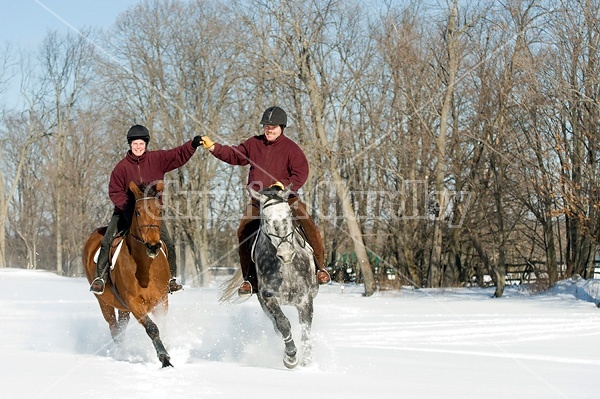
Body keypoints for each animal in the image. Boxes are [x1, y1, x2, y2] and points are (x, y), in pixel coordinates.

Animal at [82, 181, 172, 368]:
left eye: (160, 211)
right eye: (137, 212)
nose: (153, 246)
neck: (145, 268)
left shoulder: (162, 300)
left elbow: (163, 325)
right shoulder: (134, 303)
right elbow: (152, 328)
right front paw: (164, 358)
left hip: (123, 308)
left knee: (121, 328)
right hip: (105, 303)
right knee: (114, 329)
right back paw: (123, 354)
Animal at [221, 186, 318, 370]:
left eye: (289, 214)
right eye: (266, 219)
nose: (286, 253)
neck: (286, 268)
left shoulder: (305, 299)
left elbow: (306, 330)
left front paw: (307, 364)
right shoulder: (268, 298)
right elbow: (283, 323)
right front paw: (291, 357)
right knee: (276, 325)